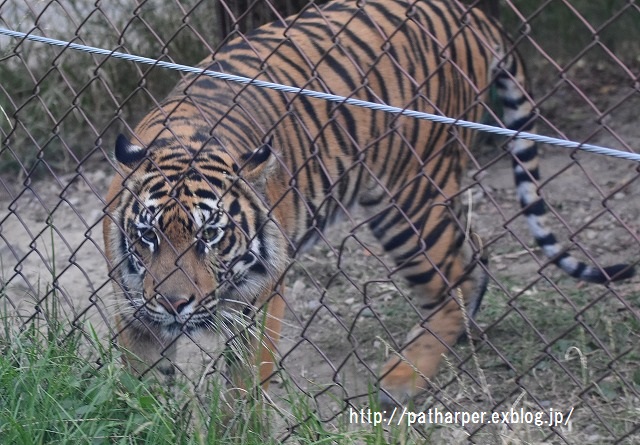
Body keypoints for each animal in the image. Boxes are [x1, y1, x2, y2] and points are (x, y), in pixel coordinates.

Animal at [102, 0, 632, 404]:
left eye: (210, 236)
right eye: (147, 236)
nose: (174, 304)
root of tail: (468, 12)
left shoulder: (259, 302)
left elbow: (241, 393)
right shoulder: (134, 309)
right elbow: (140, 390)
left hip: (409, 199)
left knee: (452, 279)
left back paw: (402, 378)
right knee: (475, 248)